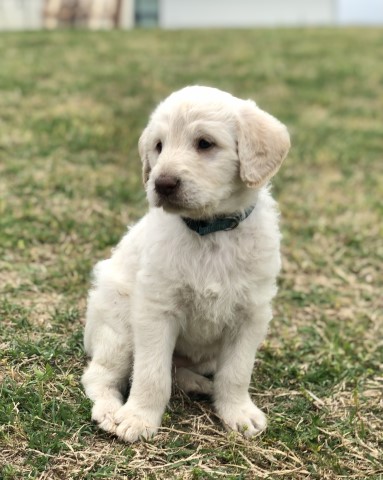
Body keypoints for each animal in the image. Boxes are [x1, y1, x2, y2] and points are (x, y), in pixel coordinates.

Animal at [82, 86, 292, 442]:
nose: (162, 184)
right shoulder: (156, 310)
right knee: (99, 375)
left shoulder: (251, 313)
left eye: (204, 143)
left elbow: (236, 372)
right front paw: (138, 418)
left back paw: (198, 384)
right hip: (119, 329)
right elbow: (151, 374)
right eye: (159, 146)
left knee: (180, 369)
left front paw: (237, 412)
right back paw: (110, 411)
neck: (210, 231)